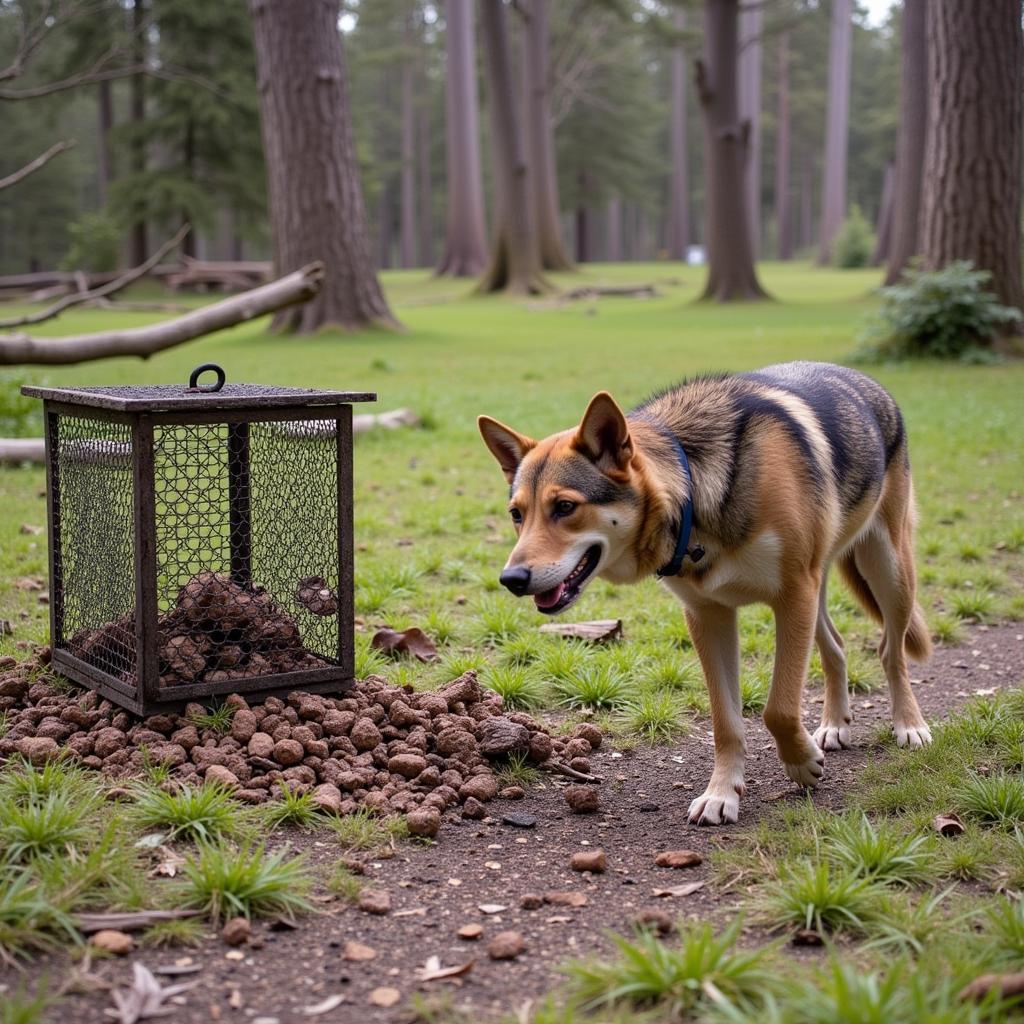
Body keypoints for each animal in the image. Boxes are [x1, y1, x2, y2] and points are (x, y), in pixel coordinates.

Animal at [475, 360, 933, 823]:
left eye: (565, 507)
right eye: (517, 514)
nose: (511, 579)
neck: (694, 494)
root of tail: (859, 377)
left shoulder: (792, 599)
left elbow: (779, 708)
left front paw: (801, 763)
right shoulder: (709, 616)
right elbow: (726, 723)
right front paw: (722, 794)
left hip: (888, 572)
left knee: (889, 652)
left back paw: (909, 725)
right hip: (819, 591)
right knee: (836, 648)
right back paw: (836, 724)